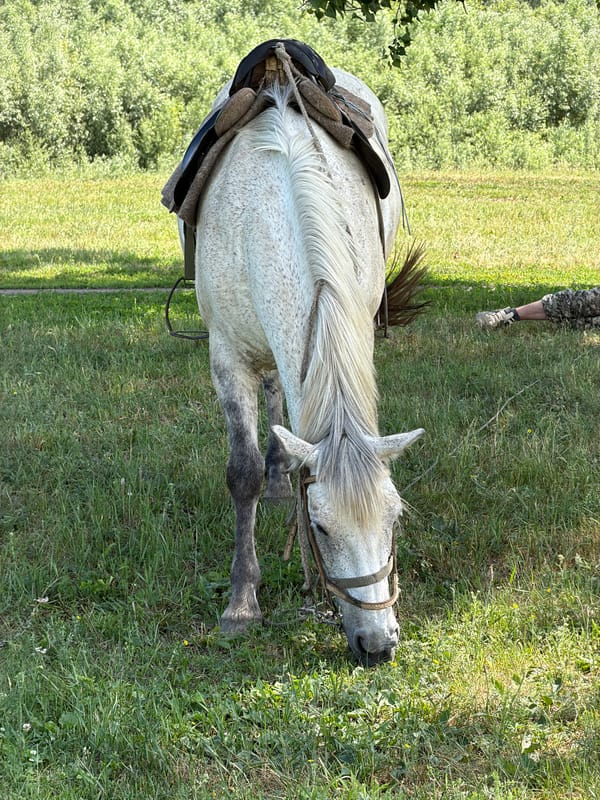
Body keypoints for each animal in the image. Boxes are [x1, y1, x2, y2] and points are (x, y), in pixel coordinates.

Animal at [189, 54, 424, 665]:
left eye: (394, 519)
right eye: (319, 529)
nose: (378, 644)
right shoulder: (227, 358)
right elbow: (242, 472)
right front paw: (241, 602)